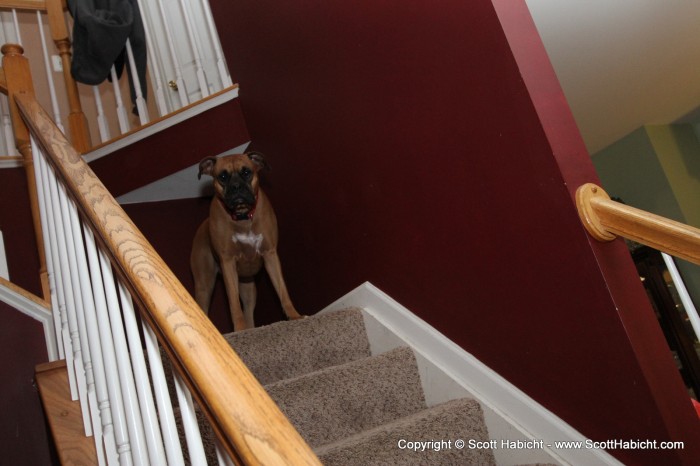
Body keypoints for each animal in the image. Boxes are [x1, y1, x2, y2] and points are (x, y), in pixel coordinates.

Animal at [190, 153, 302, 332]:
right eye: (222, 176)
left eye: (247, 172)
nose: (236, 187)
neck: (242, 217)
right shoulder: (228, 263)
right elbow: (234, 304)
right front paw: (239, 330)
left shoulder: (270, 254)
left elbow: (282, 290)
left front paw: (294, 316)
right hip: (204, 285)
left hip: (248, 288)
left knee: (248, 311)